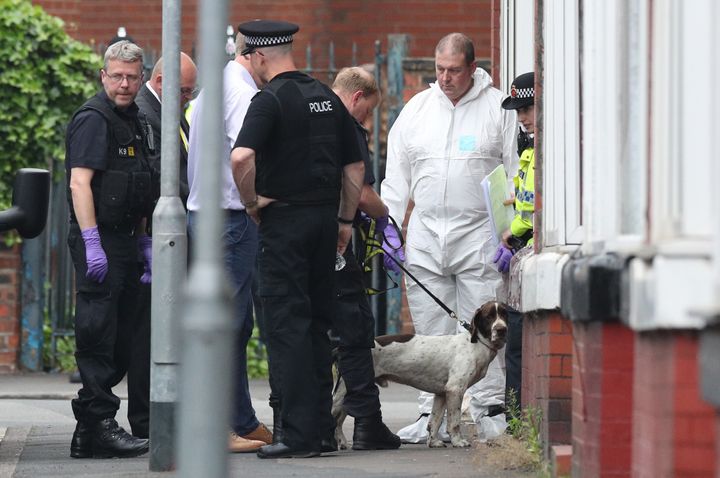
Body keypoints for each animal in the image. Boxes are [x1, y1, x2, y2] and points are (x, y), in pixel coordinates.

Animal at [334, 302, 510, 448]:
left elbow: (434, 422)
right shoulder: (455, 390)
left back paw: (341, 442)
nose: (502, 330)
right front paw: (457, 441)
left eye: (504, 314)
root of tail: (339, 349)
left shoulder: (442, 394)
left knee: (338, 422)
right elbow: (454, 422)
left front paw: (434, 442)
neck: (476, 345)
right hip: (341, 395)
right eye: (489, 317)